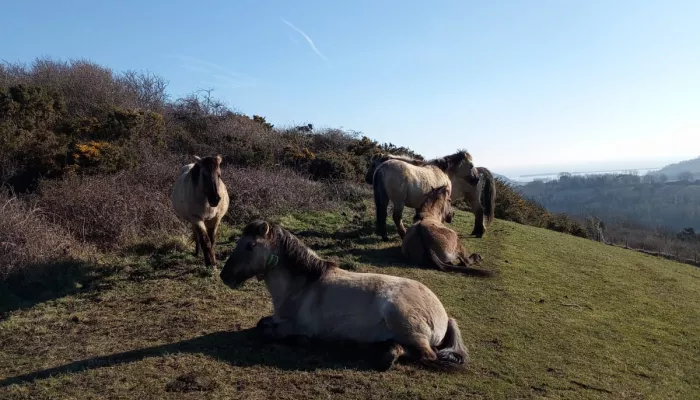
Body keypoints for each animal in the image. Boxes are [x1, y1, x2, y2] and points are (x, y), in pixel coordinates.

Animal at [221, 219, 468, 372]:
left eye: (250, 246)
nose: (224, 276)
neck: (302, 286)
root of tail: (444, 315)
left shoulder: (297, 326)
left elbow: (268, 332)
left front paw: (301, 340)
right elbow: (261, 323)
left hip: (400, 316)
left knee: (428, 355)